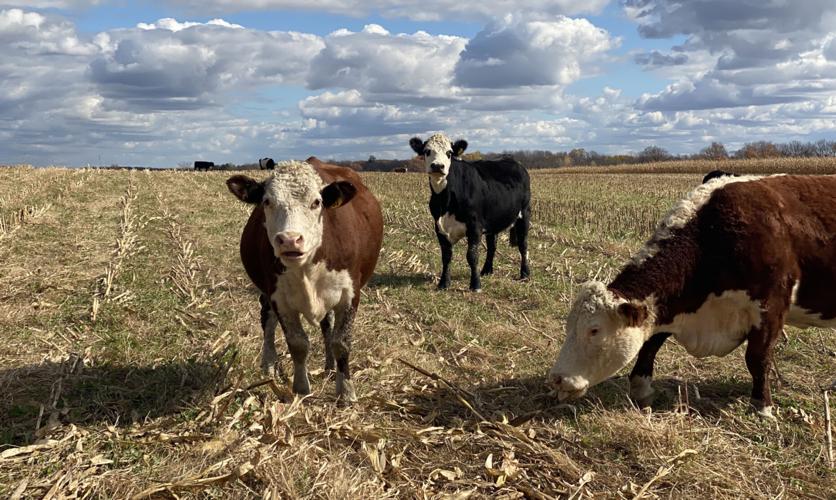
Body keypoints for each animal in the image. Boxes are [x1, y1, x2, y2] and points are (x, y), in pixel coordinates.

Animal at [226, 157, 383, 402]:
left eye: (316, 202)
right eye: (267, 201)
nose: (290, 240)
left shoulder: (349, 294)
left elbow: (341, 342)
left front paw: (346, 391)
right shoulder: (279, 298)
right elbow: (298, 343)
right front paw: (300, 388)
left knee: (326, 325)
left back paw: (329, 366)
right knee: (267, 319)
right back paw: (269, 364)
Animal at [409, 133, 531, 291]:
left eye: (449, 153)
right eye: (427, 151)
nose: (437, 166)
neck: (445, 201)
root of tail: (512, 160)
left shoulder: (474, 226)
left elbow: (472, 256)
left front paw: (475, 285)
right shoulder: (439, 227)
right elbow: (446, 256)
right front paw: (443, 283)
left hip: (524, 214)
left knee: (523, 245)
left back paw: (525, 274)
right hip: (493, 221)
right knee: (492, 246)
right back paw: (486, 270)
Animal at [548, 174, 836, 418]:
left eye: (594, 330)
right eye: (568, 327)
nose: (558, 378)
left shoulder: (771, 306)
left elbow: (757, 358)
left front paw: (762, 406)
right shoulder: (676, 307)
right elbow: (651, 341)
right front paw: (641, 389)